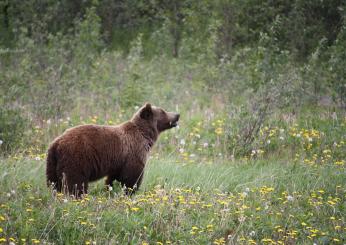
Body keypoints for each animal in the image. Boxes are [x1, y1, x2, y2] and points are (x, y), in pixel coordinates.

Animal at [46, 103, 180, 197]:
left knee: (53, 183)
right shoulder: (134, 152)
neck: (145, 135)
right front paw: (130, 192)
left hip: (52, 162)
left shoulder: (119, 161)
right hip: (77, 158)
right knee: (75, 182)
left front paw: (111, 190)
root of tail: (57, 143)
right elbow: (131, 177)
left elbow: (114, 178)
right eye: (163, 111)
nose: (177, 114)